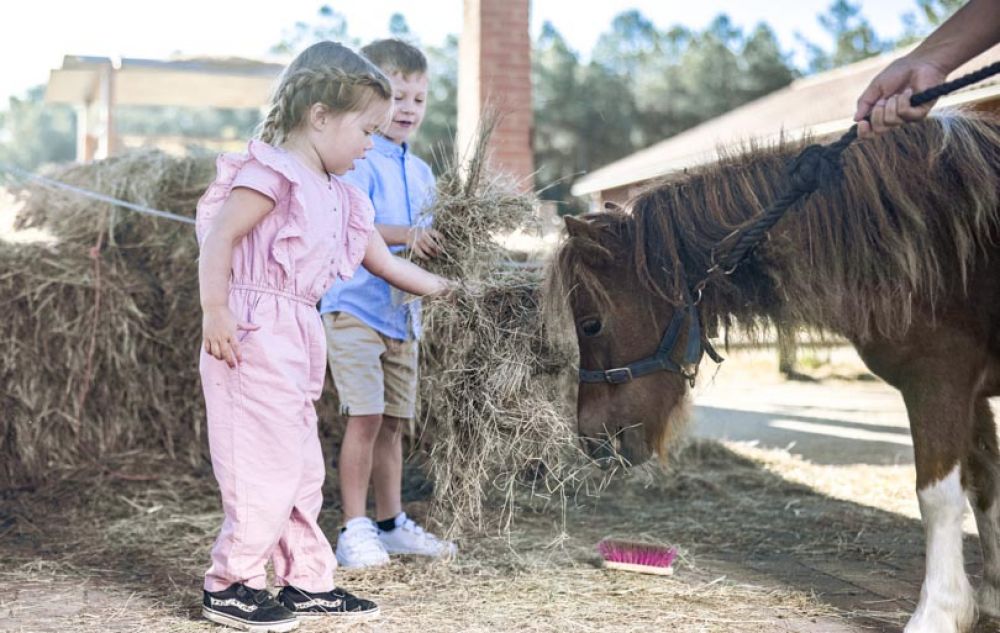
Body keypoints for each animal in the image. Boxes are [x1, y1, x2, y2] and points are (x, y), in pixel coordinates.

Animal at [552, 112, 1000, 632]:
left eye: (591, 323)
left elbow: (939, 498)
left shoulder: (938, 380)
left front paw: (940, 612)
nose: (591, 440)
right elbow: (986, 486)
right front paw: (991, 596)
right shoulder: (972, 394)